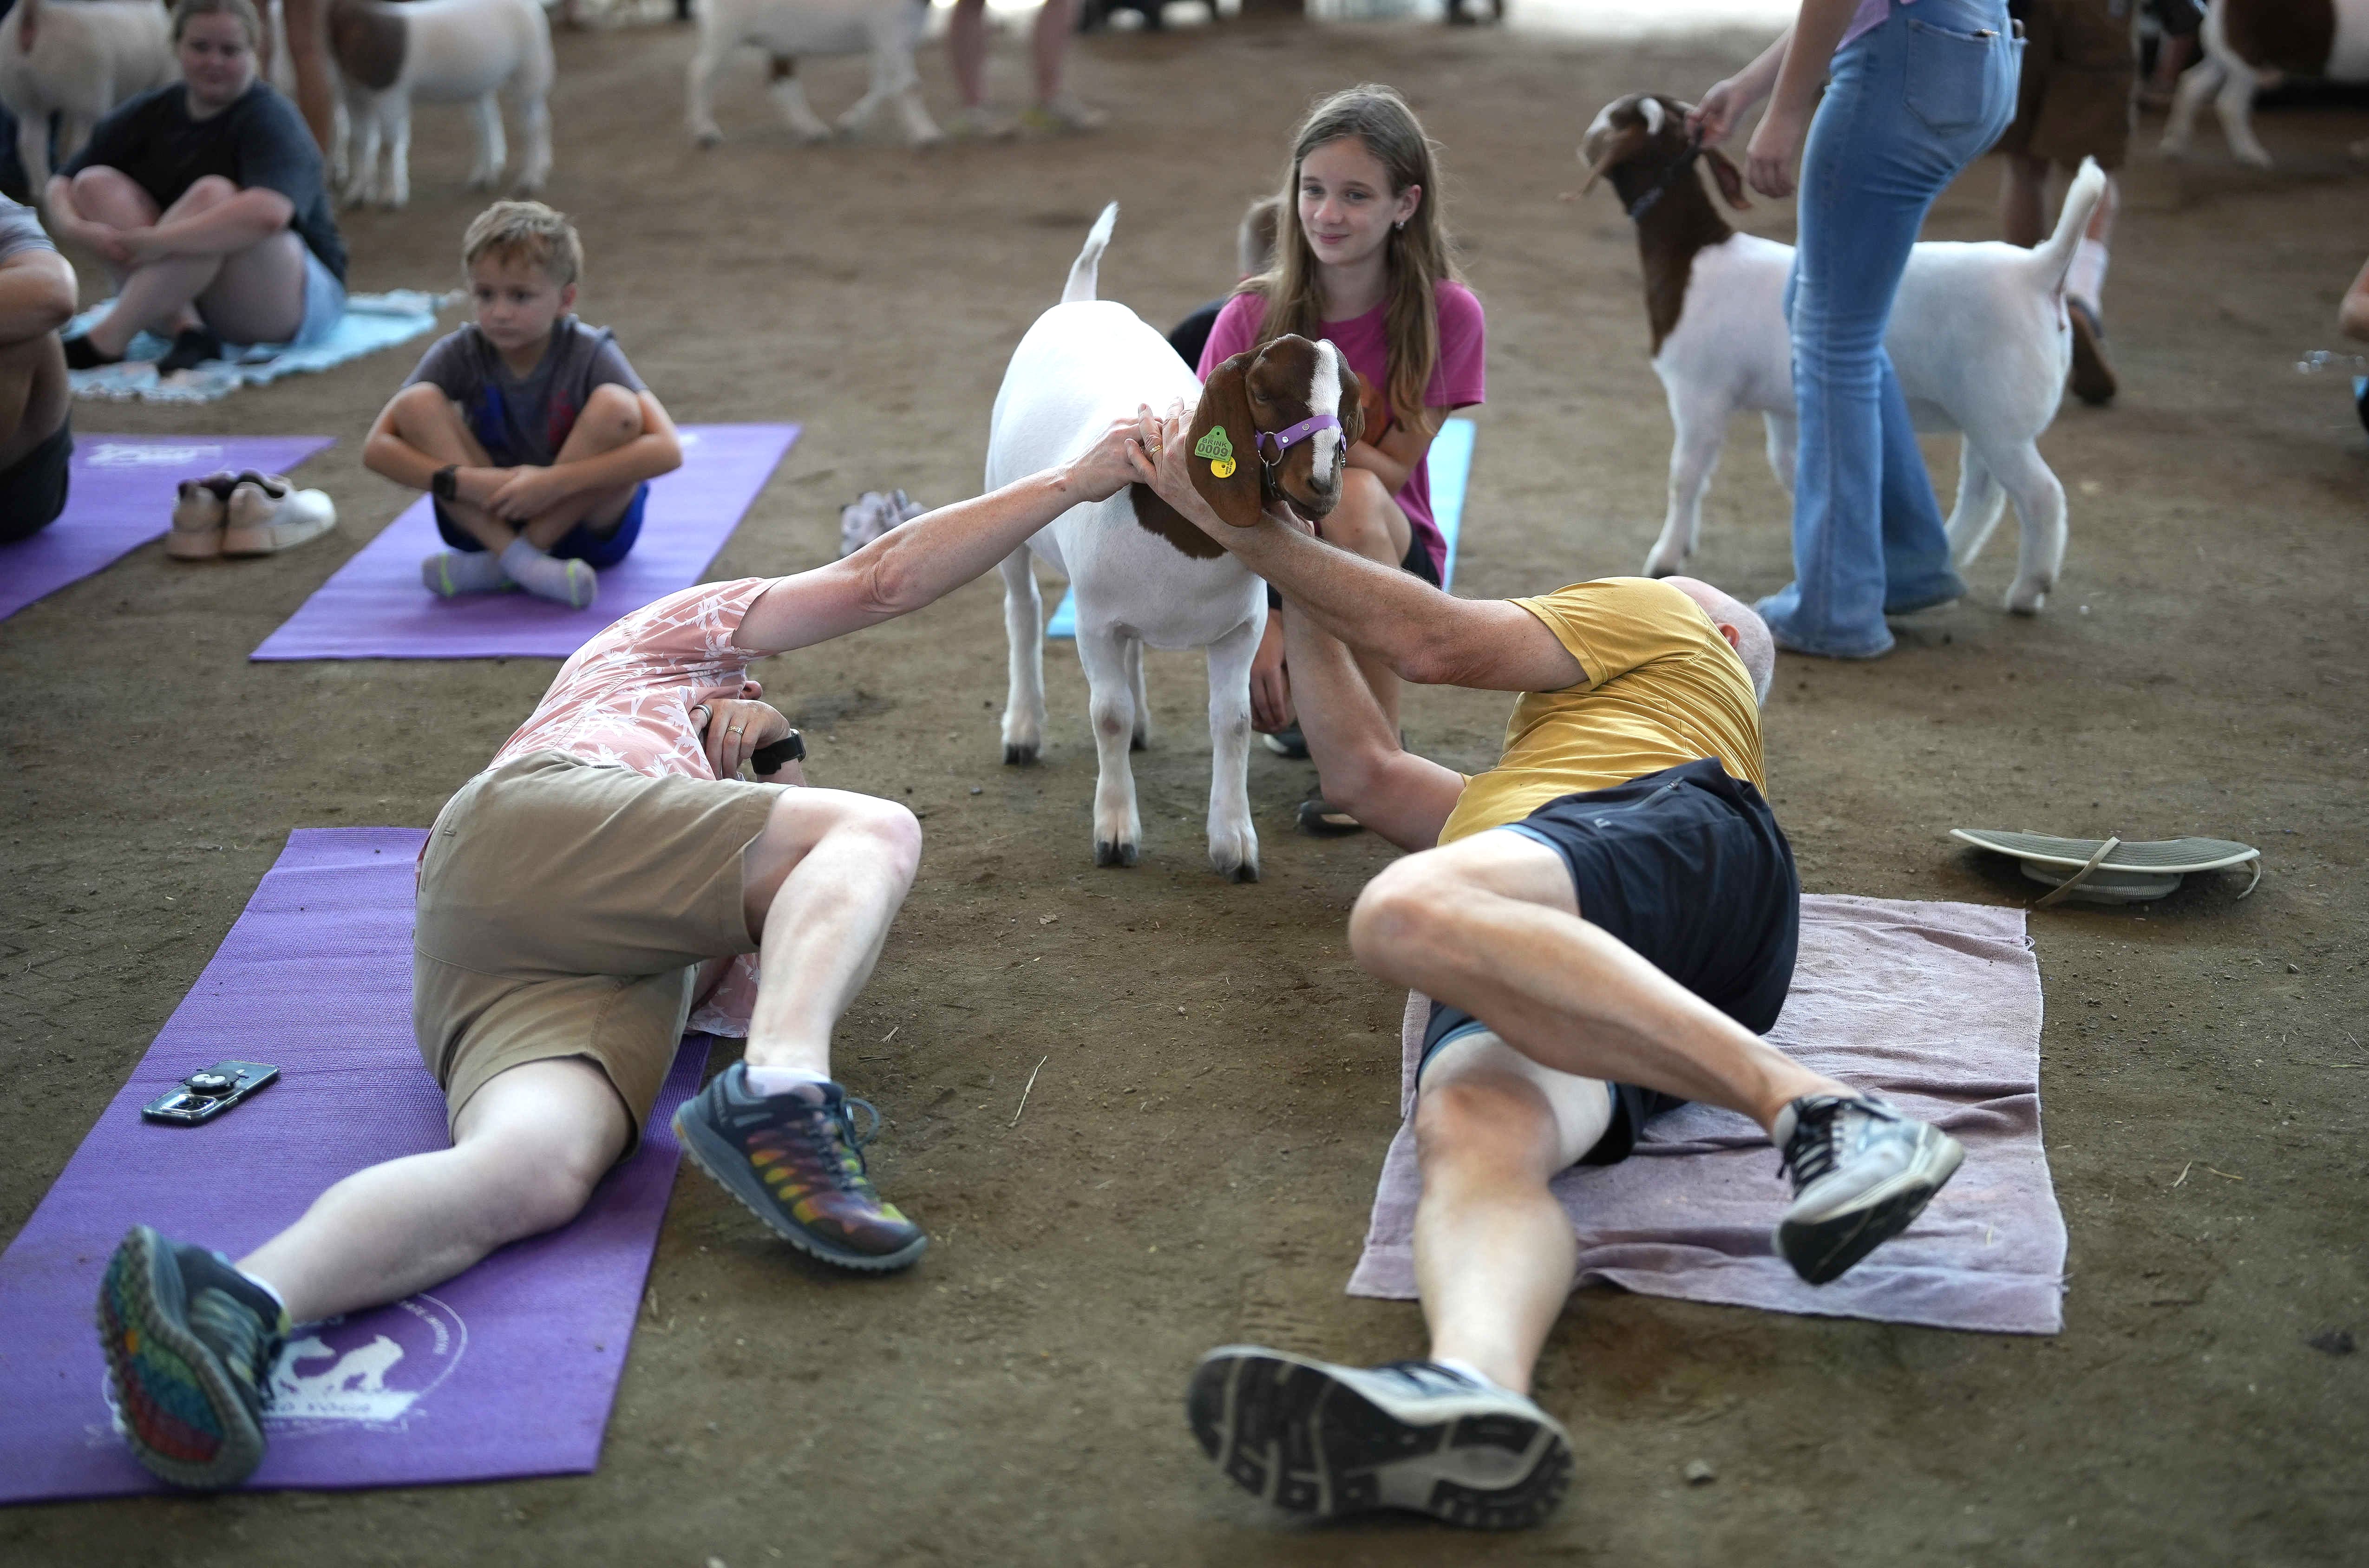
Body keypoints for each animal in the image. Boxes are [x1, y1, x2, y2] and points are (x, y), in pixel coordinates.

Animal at [0, 0, 173, 188]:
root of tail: (34, 16)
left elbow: (63, 136)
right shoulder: (167, 76)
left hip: (26, 99)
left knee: (31, 144)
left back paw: (42, 187)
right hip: (88, 98)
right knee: (79, 144)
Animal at [324, 0, 550, 208]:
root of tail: (531, 6)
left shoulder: (390, 96)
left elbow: (388, 147)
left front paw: (391, 197)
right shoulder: (353, 98)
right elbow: (359, 144)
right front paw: (356, 195)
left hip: (530, 71)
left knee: (533, 126)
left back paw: (529, 180)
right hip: (480, 85)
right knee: (487, 123)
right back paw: (485, 177)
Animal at [687, 0, 933, 150]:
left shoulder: (889, 42)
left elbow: (883, 85)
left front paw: (851, 123)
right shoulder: (892, 36)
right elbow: (910, 86)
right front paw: (926, 134)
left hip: (778, 42)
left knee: (781, 82)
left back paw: (812, 129)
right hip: (726, 32)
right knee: (702, 74)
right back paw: (705, 132)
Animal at [2170, 0, 2369, 168]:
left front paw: (2362, 151)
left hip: (2222, 60)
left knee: (2192, 85)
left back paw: (2174, 144)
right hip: (2246, 61)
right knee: (2231, 105)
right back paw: (2251, 154)